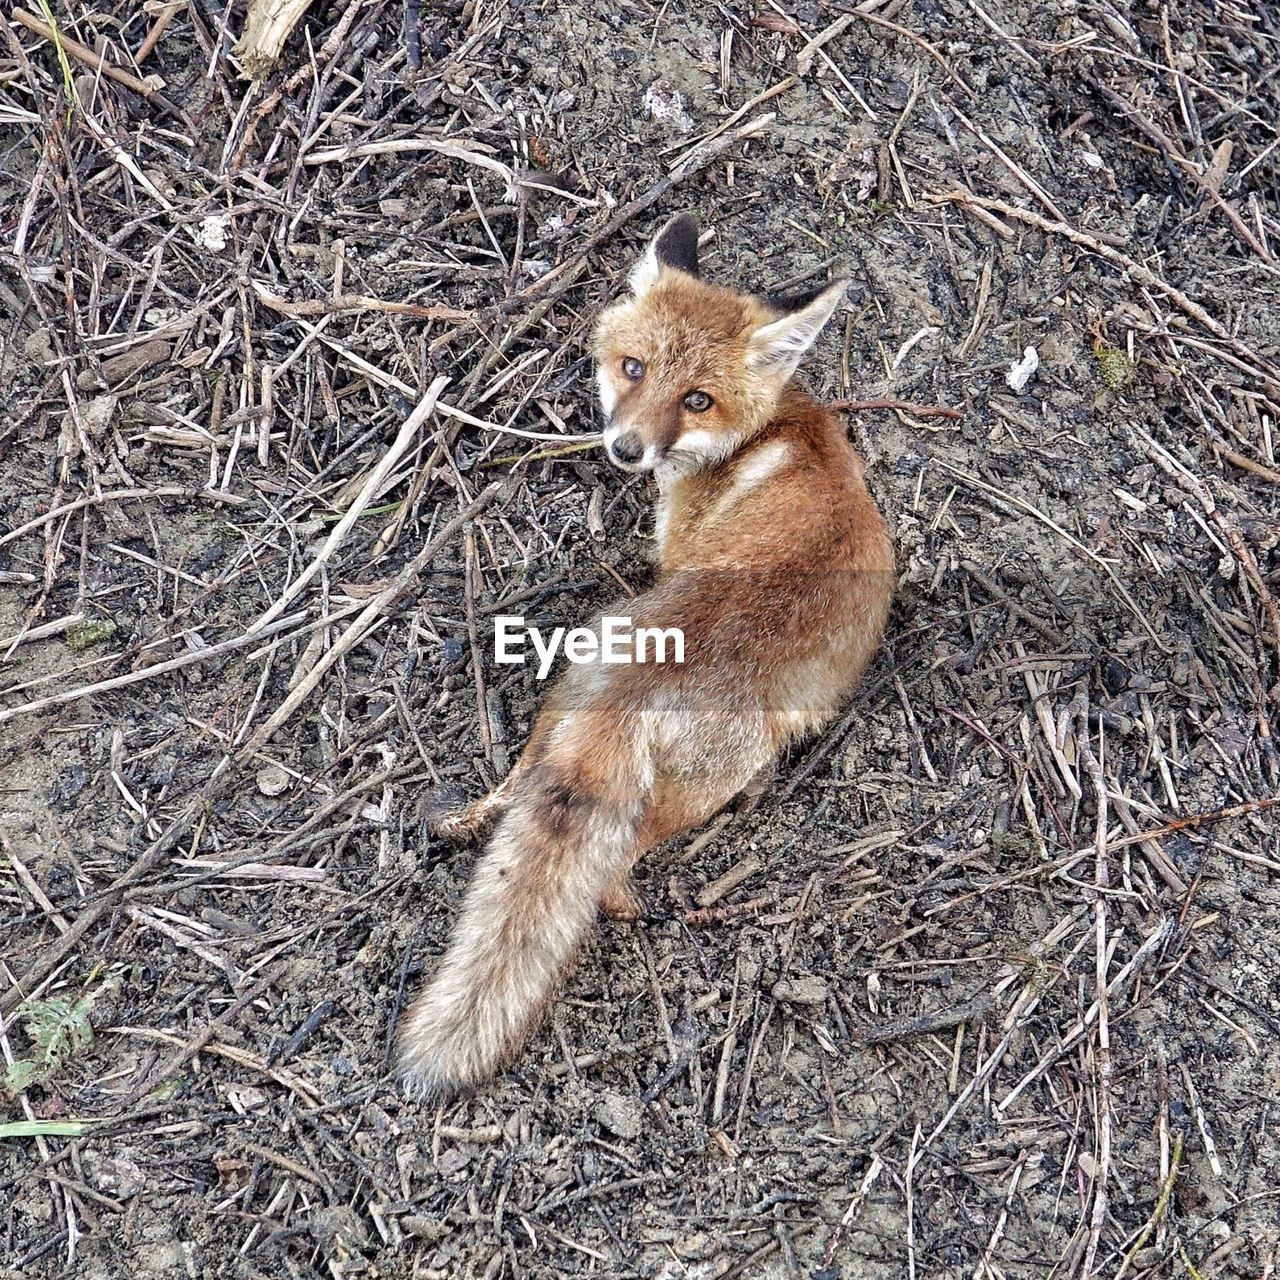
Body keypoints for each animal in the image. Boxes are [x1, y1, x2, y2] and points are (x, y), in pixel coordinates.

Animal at [396, 212, 890, 1100]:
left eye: (697, 398)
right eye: (634, 368)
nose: (625, 450)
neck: (773, 431)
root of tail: (644, 680)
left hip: (609, 714)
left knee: (559, 830)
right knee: (574, 838)